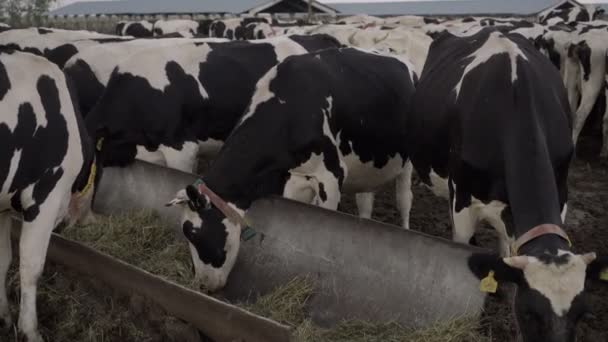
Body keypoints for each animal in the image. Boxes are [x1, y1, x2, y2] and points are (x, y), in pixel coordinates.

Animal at [0, 49, 98, 340]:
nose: (89, 220)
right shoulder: (46, 196)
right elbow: (31, 266)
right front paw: (30, 330)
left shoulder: (3, 207)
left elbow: (3, 259)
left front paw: (4, 317)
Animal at [166, 46, 418, 292]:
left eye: (195, 235)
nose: (203, 285)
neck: (290, 107)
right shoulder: (293, 180)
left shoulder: (331, 176)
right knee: (365, 203)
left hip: (407, 165)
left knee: (404, 200)